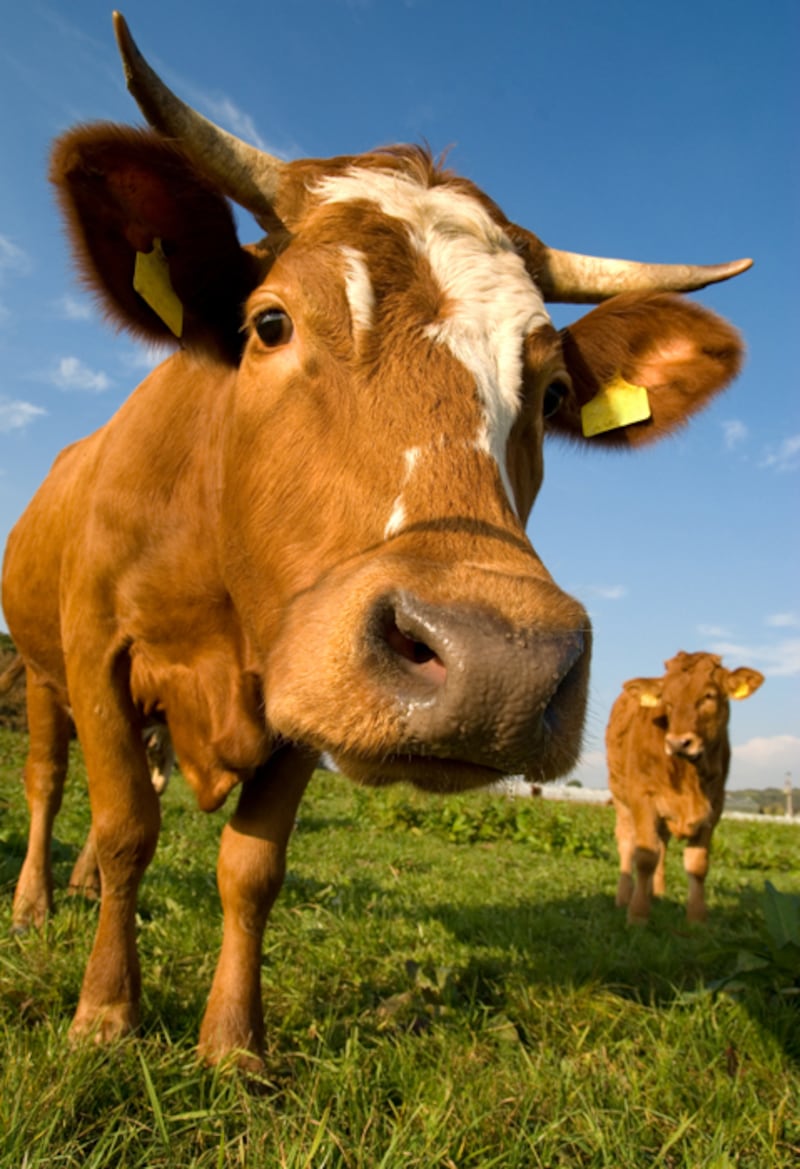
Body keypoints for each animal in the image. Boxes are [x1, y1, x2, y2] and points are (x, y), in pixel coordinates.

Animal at [607, 652, 764, 925]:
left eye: (709, 695)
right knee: (627, 841)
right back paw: (624, 896)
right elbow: (645, 856)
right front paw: (637, 914)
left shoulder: (715, 805)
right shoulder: (642, 796)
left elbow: (697, 864)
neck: (689, 777)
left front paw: (697, 918)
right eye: (667, 701)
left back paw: (656, 892)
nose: (678, 742)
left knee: (662, 844)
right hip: (620, 796)